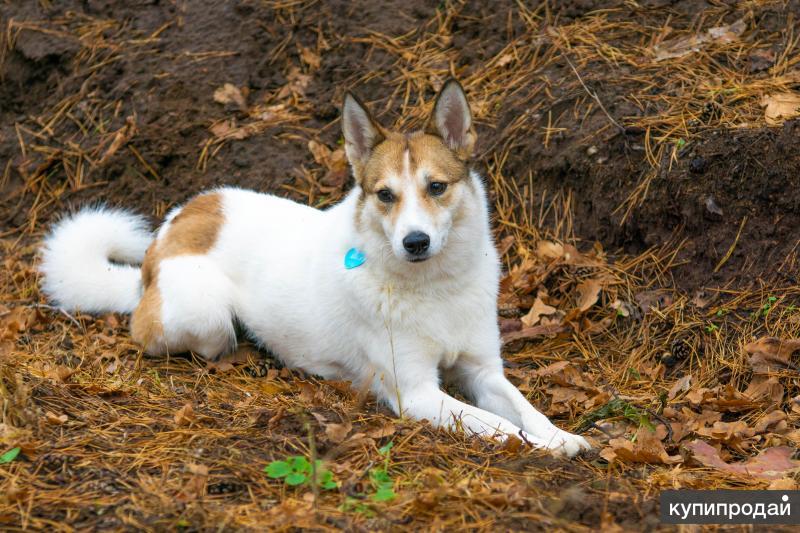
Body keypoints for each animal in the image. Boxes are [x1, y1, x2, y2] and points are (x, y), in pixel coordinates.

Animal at [42, 80, 592, 458]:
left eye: (436, 187)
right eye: (385, 195)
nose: (415, 242)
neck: (434, 287)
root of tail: (174, 225)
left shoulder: (482, 371)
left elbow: (524, 407)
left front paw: (560, 434)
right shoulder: (417, 394)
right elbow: (498, 425)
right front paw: (543, 447)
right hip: (204, 316)